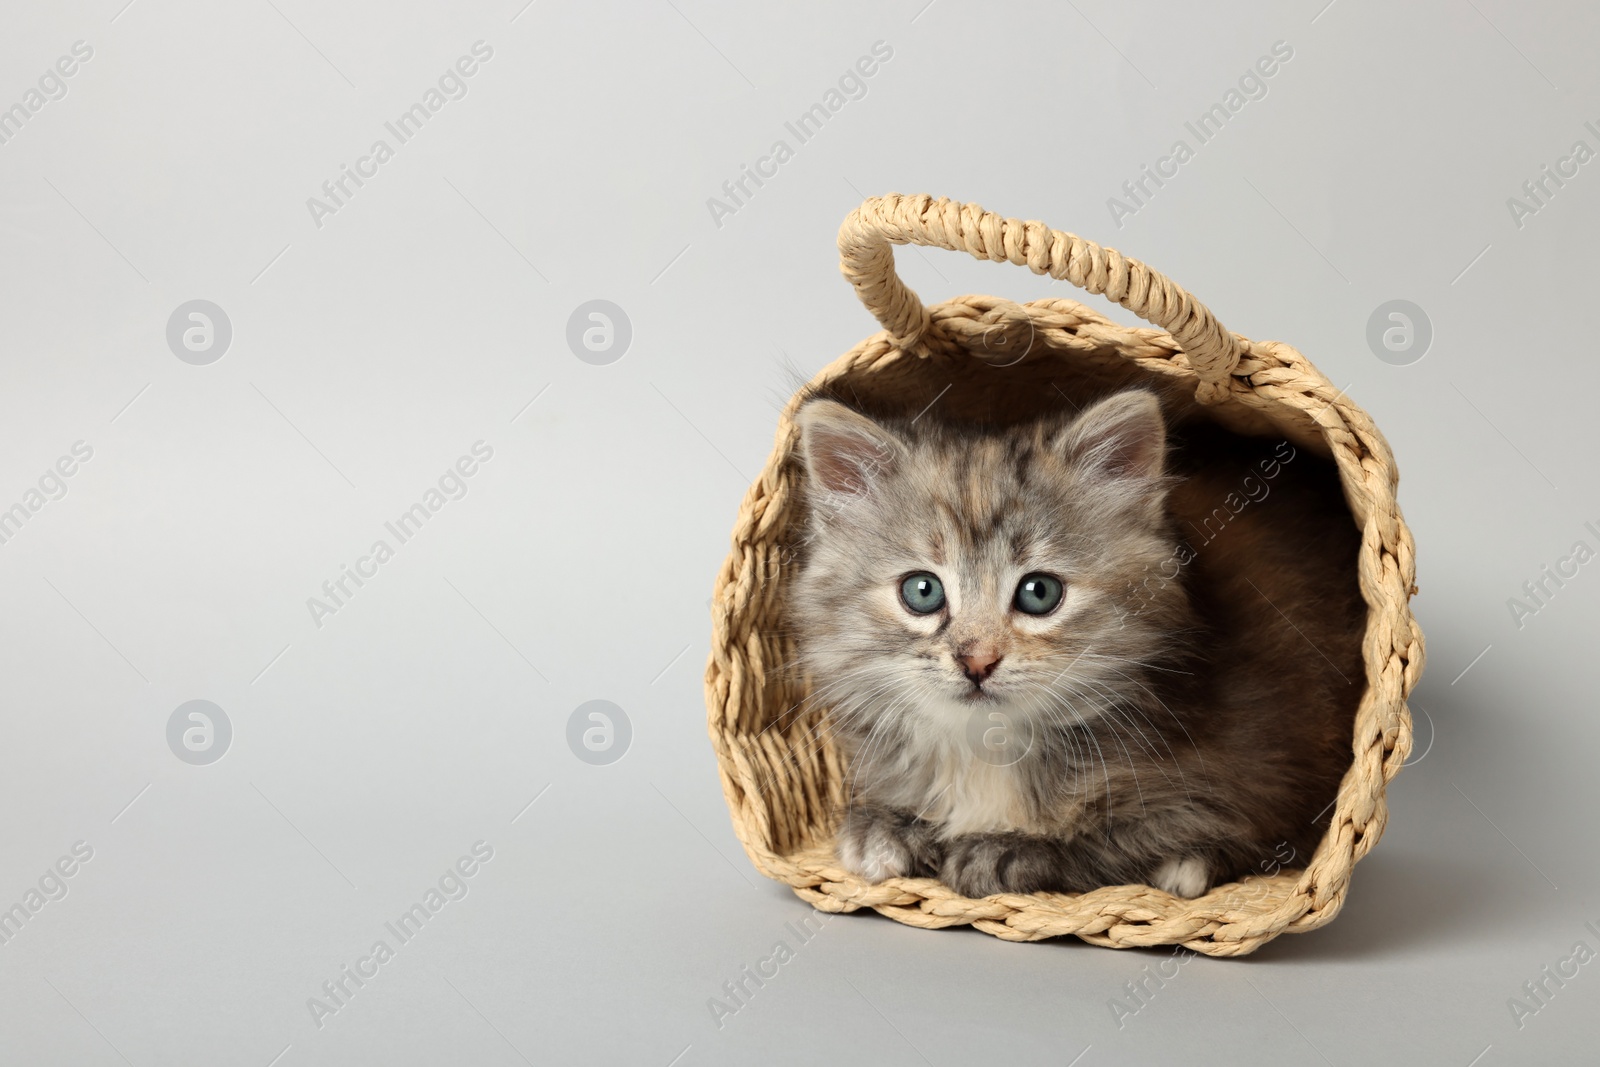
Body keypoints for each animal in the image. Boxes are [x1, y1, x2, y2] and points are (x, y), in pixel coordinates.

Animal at [787, 388, 1363, 895]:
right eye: (922, 591)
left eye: (1039, 592)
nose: (977, 661)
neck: (988, 747)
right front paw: (880, 828)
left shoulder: (1252, 779)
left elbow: (1130, 835)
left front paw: (1001, 849)